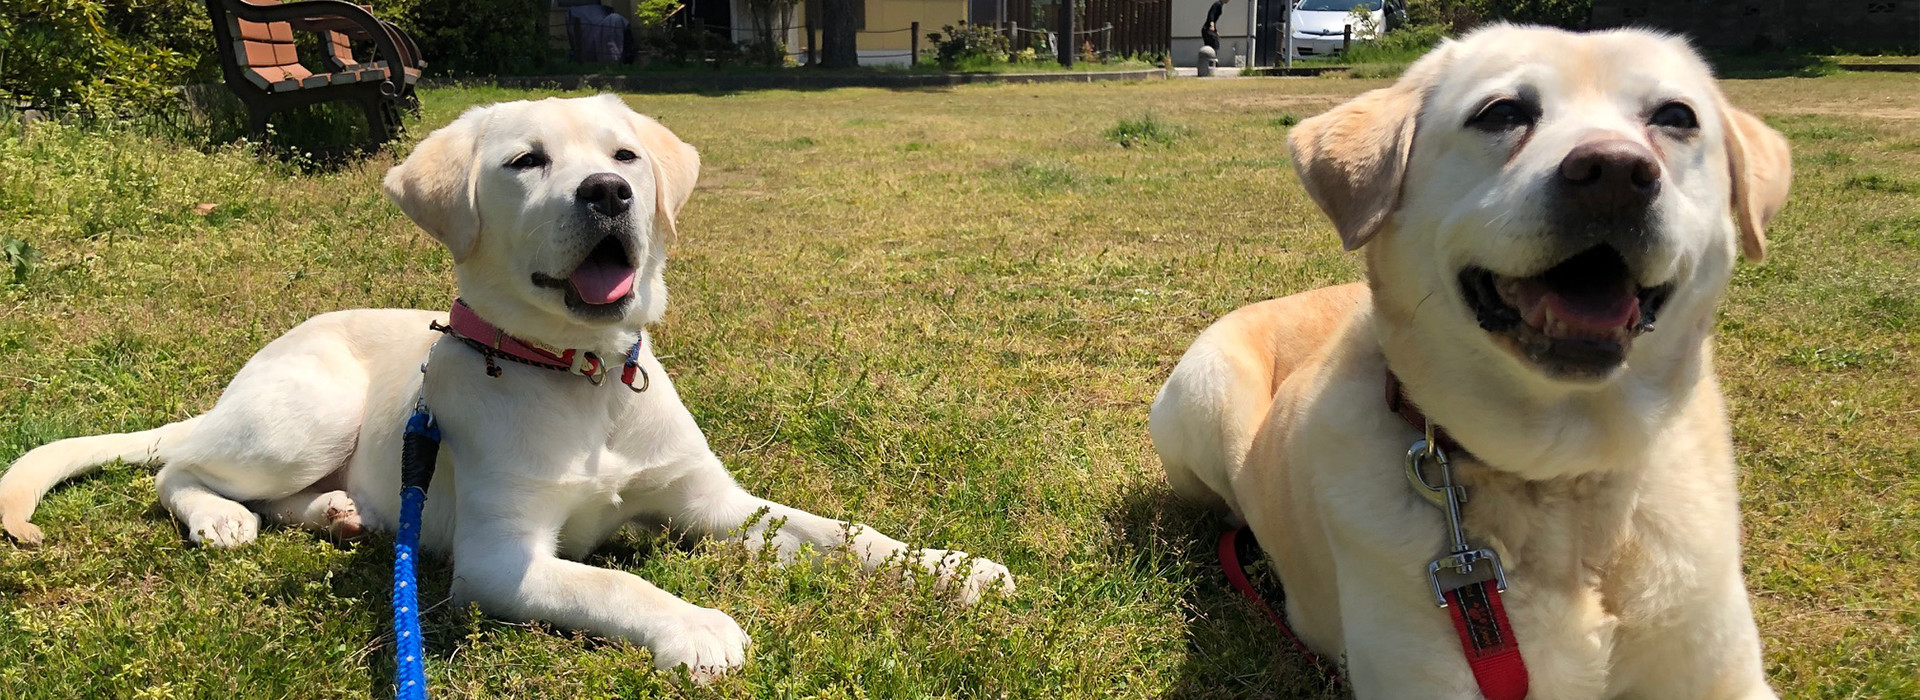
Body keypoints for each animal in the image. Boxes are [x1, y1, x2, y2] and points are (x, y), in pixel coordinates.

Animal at [0, 92, 1013, 675]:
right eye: (526, 160)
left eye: (625, 155)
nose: (608, 193)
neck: (586, 378)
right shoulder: (501, 562)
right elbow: (614, 584)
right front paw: (696, 627)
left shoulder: (718, 508)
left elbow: (845, 533)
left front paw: (954, 568)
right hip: (303, 414)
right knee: (177, 465)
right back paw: (218, 518)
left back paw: (338, 512)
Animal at [1144, 24, 1789, 694]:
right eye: (1501, 113)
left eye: (1676, 117)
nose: (1614, 171)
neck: (1560, 475)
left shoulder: (1728, 672)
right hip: (1208, 395)